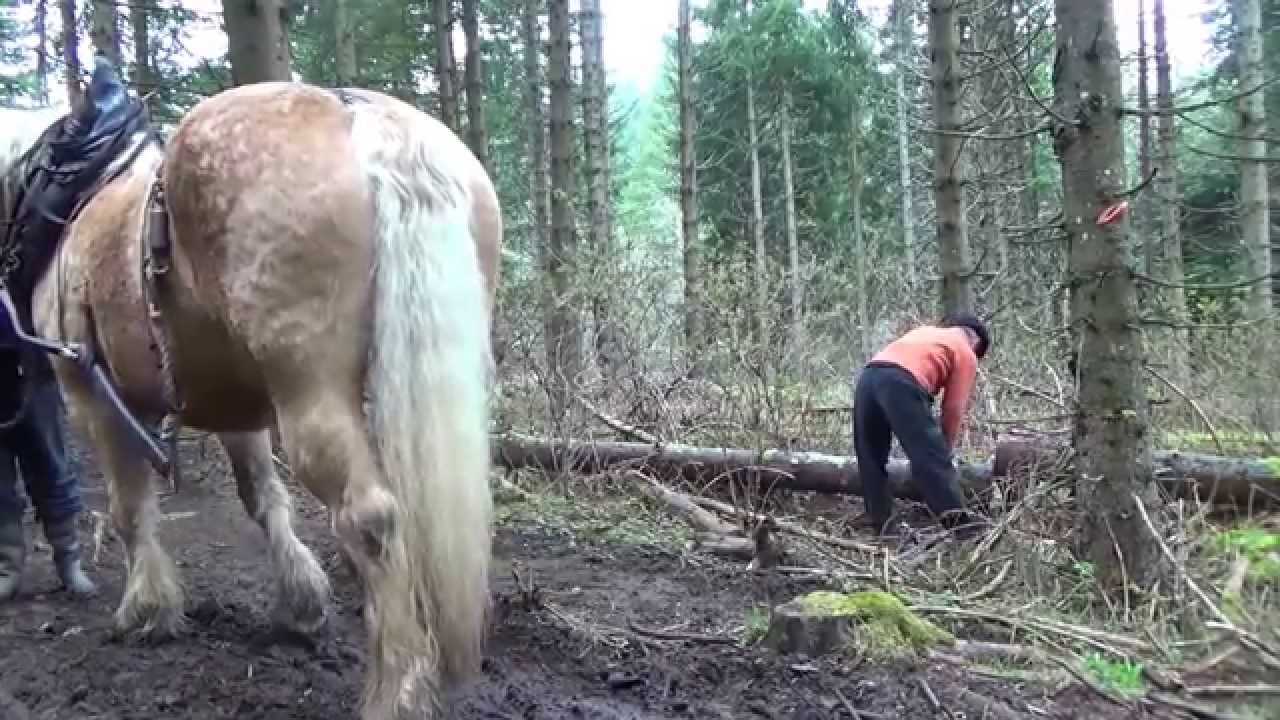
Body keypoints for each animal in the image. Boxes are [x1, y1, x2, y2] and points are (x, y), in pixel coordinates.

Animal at [6, 56, 501, 719]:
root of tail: (365, 119)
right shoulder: (236, 405)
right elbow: (263, 497)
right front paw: (302, 603)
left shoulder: (91, 394)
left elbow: (129, 507)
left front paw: (145, 608)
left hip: (307, 389)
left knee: (371, 517)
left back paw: (395, 690)